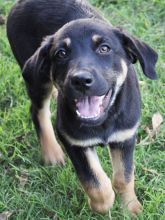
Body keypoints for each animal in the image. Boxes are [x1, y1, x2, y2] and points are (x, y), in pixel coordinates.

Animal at [7, 0, 158, 215]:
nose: (80, 80)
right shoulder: (74, 142)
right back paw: (52, 152)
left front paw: (131, 208)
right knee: (38, 111)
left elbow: (124, 177)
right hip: (37, 77)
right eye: (61, 54)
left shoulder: (125, 137)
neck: (104, 121)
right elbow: (96, 183)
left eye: (104, 48)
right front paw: (101, 205)